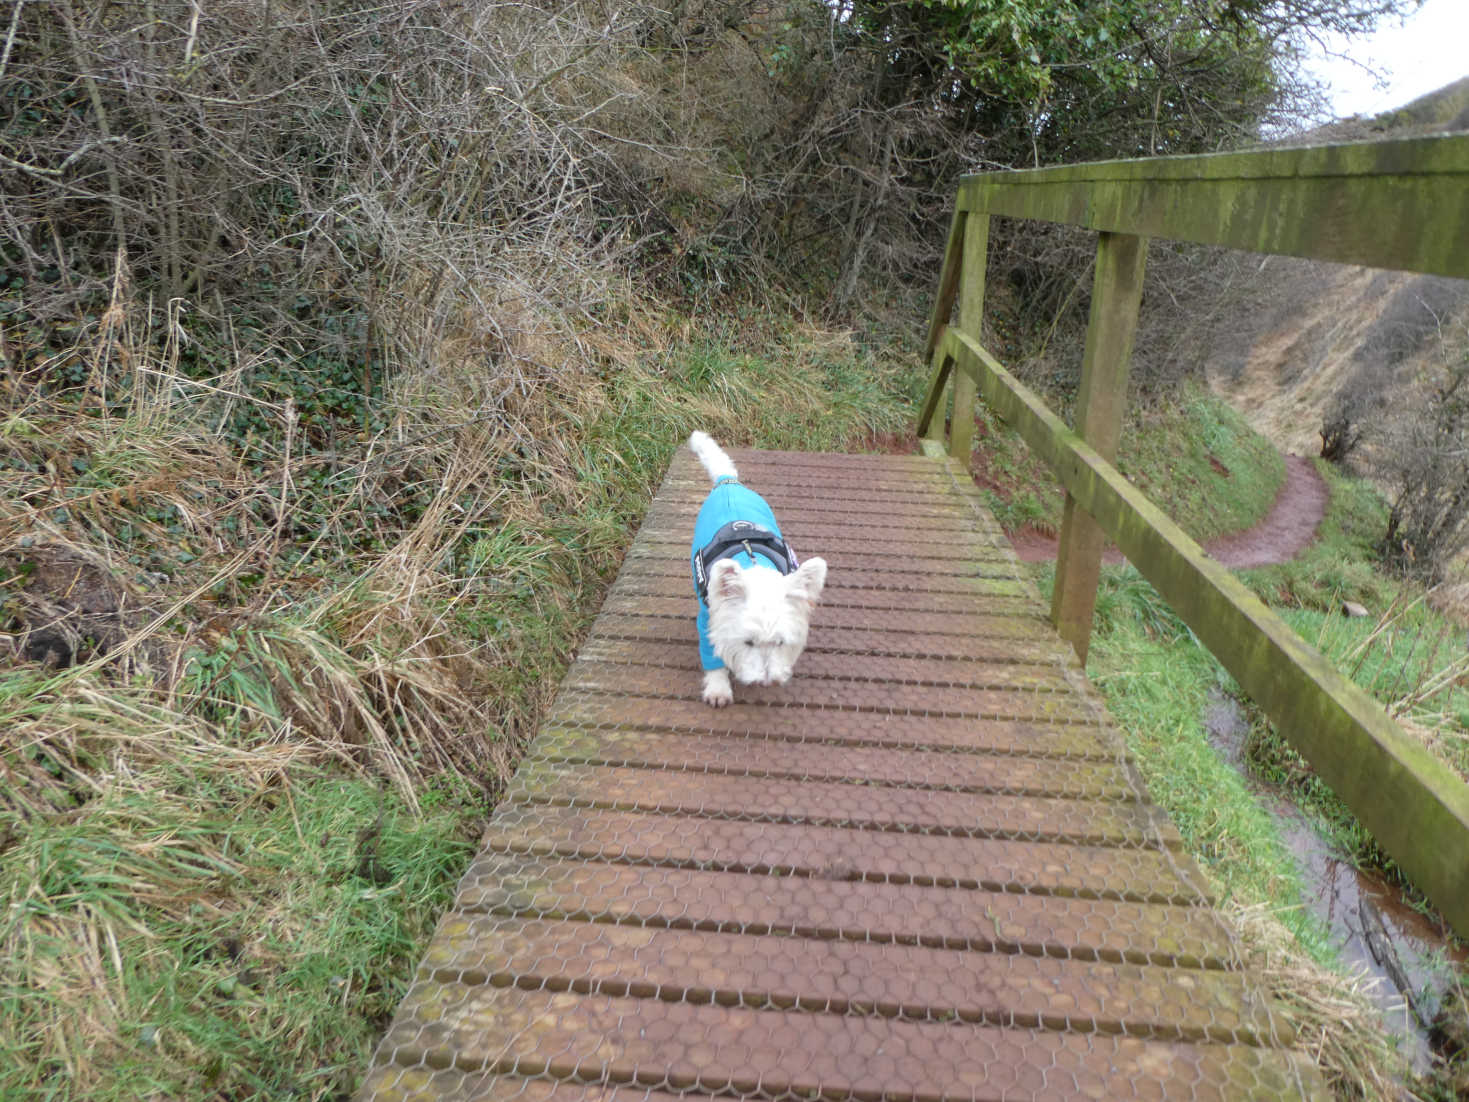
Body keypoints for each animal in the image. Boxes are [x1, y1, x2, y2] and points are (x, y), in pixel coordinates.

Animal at [687, 431, 828, 708]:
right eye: (748, 642)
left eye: (780, 642)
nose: (766, 681)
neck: (752, 562)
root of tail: (727, 481)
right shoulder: (709, 618)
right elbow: (712, 655)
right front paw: (718, 688)